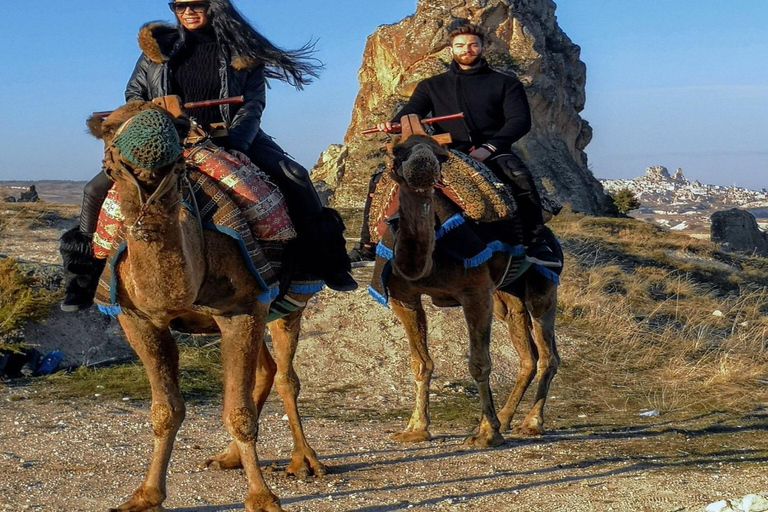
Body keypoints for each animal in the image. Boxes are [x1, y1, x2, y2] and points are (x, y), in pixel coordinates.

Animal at [88, 101, 324, 512]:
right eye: (109, 128)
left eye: (179, 127)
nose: (150, 147)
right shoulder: (137, 318)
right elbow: (166, 411)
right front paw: (145, 495)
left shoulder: (242, 308)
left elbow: (239, 412)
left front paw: (261, 497)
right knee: (264, 372)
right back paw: (228, 458)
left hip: (287, 305)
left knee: (285, 377)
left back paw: (303, 461)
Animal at [382, 129, 560, 448]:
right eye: (398, 153)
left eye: (442, 156)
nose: (422, 168)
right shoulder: (404, 296)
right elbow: (420, 363)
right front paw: (415, 428)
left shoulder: (475, 292)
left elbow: (479, 363)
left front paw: (487, 434)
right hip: (507, 298)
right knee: (528, 356)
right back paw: (505, 418)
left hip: (543, 289)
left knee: (547, 355)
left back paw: (530, 423)